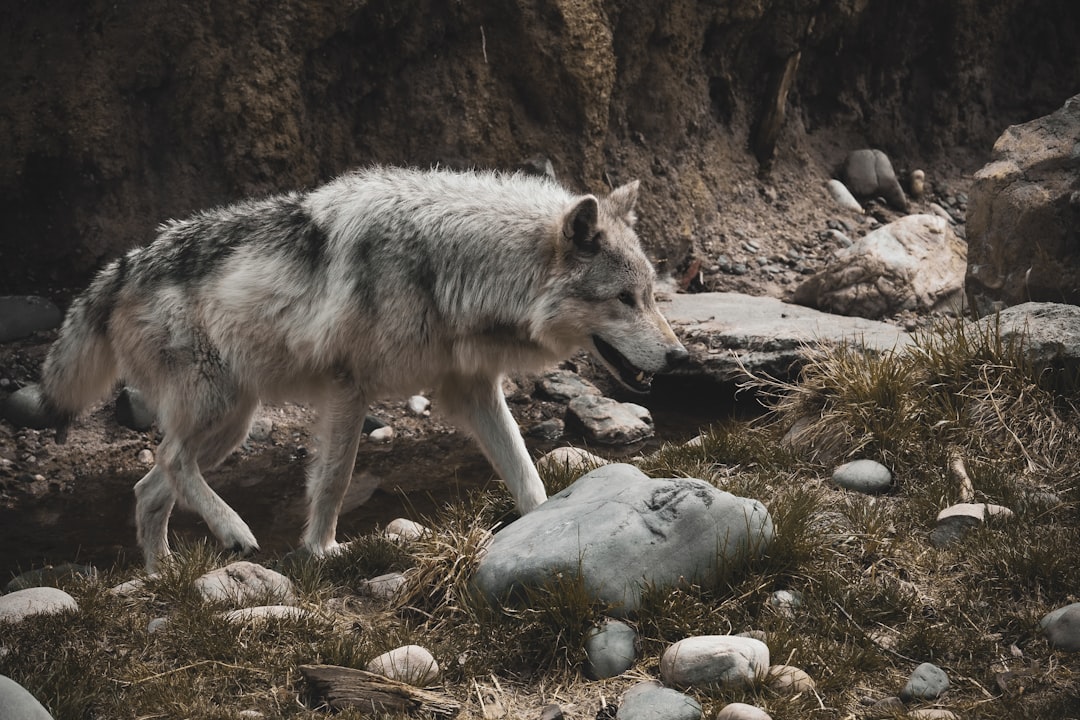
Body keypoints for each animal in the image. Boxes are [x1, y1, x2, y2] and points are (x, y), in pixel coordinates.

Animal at [40, 166, 688, 572]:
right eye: (623, 299)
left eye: (650, 295)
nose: (680, 357)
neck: (450, 269)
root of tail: (123, 265)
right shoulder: (347, 389)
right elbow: (333, 479)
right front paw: (323, 551)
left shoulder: (473, 392)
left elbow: (527, 476)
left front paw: (546, 524)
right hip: (219, 409)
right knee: (170, 462)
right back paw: (234, 532)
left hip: (232, 424)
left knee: (149, 487)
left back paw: (163, 578)